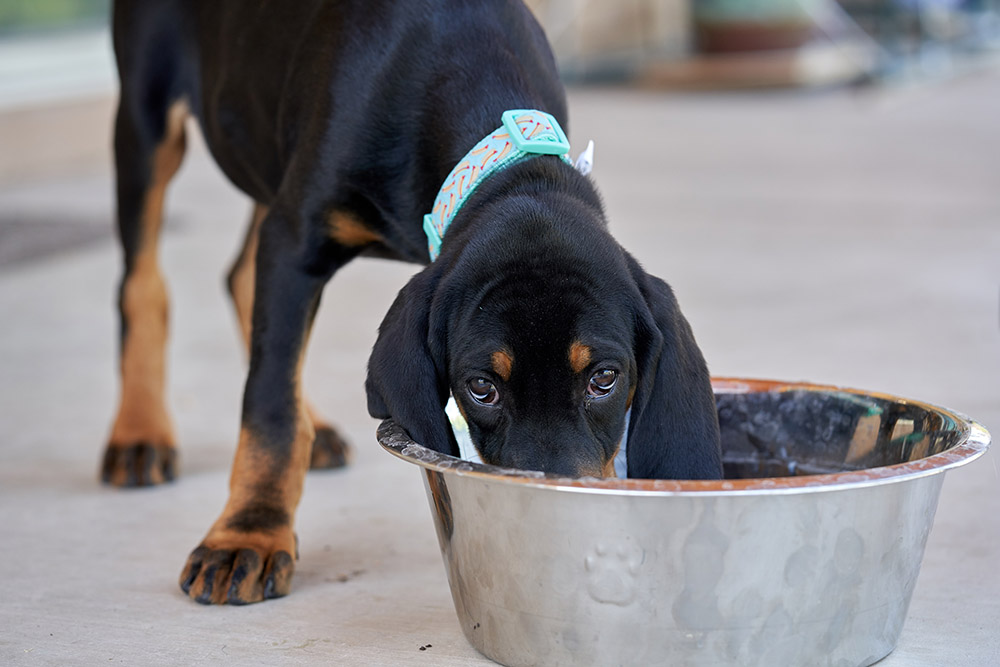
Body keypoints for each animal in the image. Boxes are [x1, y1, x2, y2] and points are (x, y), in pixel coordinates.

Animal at [103, 0, 720, 604]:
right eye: (481, 386)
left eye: (605, 378)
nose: (558, 522)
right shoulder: (295, 241)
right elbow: (270, 400)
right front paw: (247, 534)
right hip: (147, 115)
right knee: (144, 284)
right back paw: (139, 433)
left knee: (239, 277)